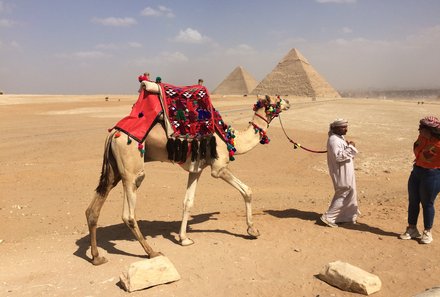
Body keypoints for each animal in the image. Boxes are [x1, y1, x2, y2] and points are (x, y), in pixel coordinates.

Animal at [86, 93, 290, 264]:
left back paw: (96, 257)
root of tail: (113, 133)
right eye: (276, 99)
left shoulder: (196, 168)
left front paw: (184, 239)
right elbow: (247, 190)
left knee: (93, 209)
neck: (230, 138)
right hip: (131, 169)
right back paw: (152, 252)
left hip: (114, 170)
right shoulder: (218, 167)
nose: (288, 102)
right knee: (128, 214)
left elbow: (188, 202)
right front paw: (252, 230)